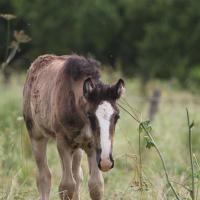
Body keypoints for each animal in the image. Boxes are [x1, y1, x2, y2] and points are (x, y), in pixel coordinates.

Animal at [22, 54, 124, 199]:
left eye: (117, 116)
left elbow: (96, 185)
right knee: (44, 176)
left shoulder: (93, 145)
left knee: (77, 175)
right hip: (36, 135)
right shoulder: (63, 142)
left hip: (77, 147)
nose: (106, 162)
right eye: (90, 115)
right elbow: (67, 186)